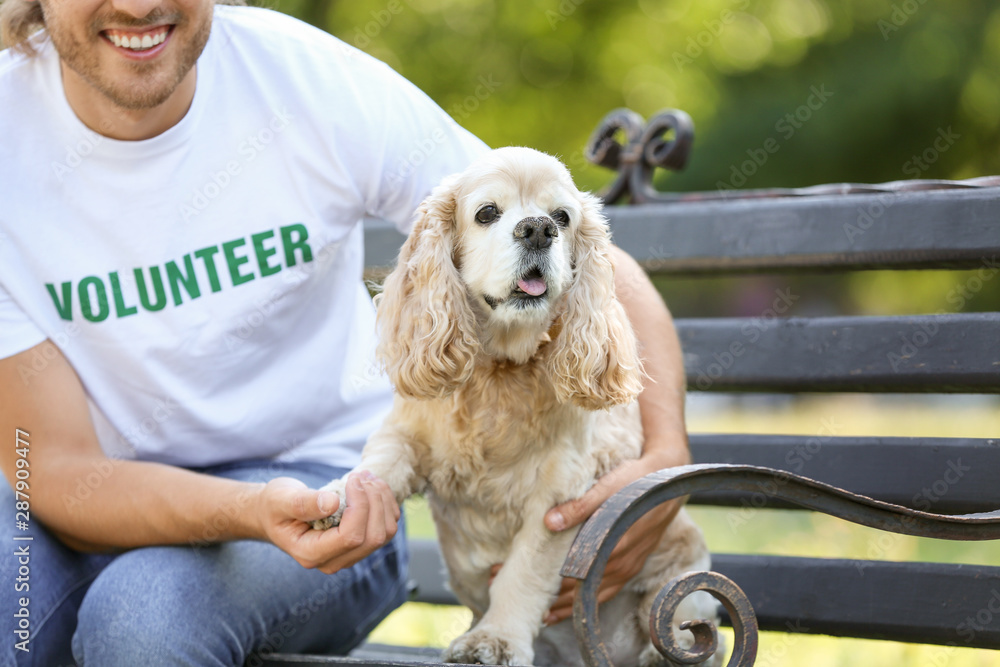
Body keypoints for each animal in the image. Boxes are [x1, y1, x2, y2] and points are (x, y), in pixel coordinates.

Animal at [312, 150, 720, 667]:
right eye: (487, 212)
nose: (538, 229)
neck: (500, 370)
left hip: (685, 569)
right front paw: (341, 498)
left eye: (562, 217)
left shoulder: (559, 496)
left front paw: (495, 639)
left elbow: (522, 574)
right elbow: (377, 467)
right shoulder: (405, 433)